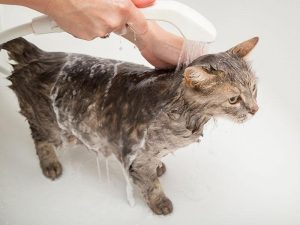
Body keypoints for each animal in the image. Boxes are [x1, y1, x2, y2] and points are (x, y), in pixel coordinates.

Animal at [0, 36, 258, 214]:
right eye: (234, 99)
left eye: (254, 89)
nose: (255, 110)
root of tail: (37, 55)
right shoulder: (138, 154)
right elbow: (151, 184)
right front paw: (159, 201)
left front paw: (159, 167)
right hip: (51, 126)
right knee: (39, 138)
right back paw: (50, 164)